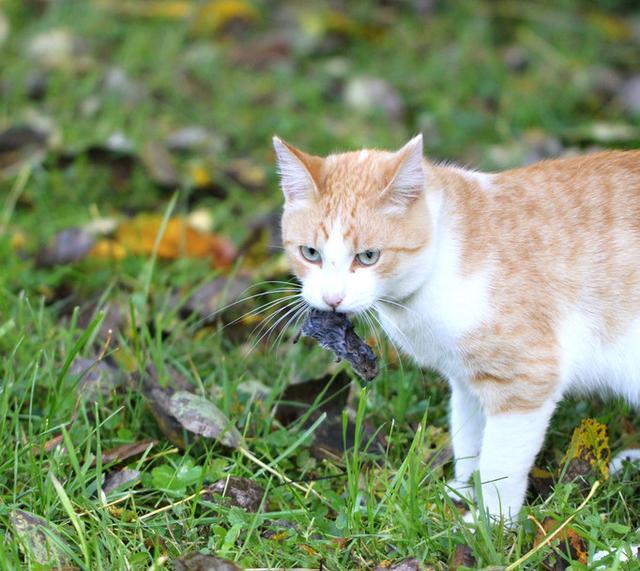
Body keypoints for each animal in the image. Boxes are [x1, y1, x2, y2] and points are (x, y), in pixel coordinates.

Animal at [274, 133, 640, 524]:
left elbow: (499, 463)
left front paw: (489, 523)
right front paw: (464, 489)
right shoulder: (465, 380)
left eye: (368, 257)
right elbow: (469, 438)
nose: (332, 299)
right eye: (310, 253)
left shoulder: (526, 379)